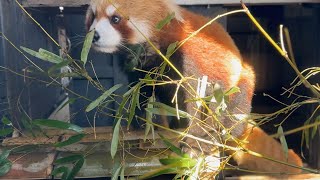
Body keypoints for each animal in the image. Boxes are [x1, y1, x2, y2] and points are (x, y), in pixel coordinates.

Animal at [85, 0, 302, 174]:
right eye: (93, 16)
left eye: (115, 18)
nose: (93, 36)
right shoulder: (142, 69)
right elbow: (142, 94)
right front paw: (143, 124)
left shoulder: (189, 58)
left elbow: (201, 102)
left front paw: (195, 141)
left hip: (242, 88)